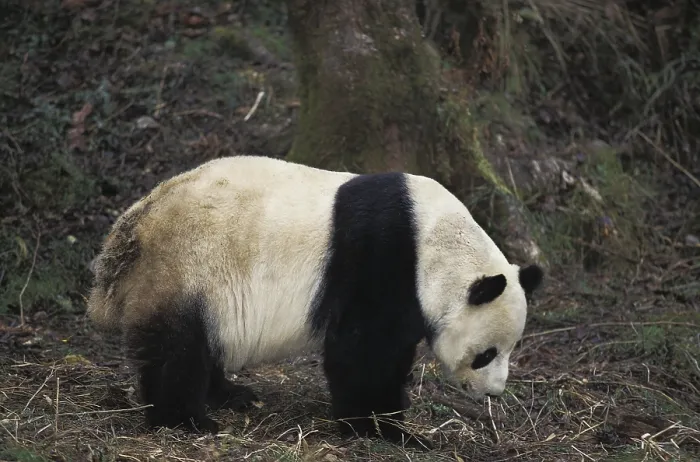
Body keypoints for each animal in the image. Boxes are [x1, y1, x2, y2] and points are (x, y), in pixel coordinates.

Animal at [86, 155, 543, 445]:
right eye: (487, 354)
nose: (494, 393)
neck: (436, 244)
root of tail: (132, 226)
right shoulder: (382, 258)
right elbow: (361, 350)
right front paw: (384, 429)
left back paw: (233, 394)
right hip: (188, 266)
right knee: (177, 349)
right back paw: (185, 420)